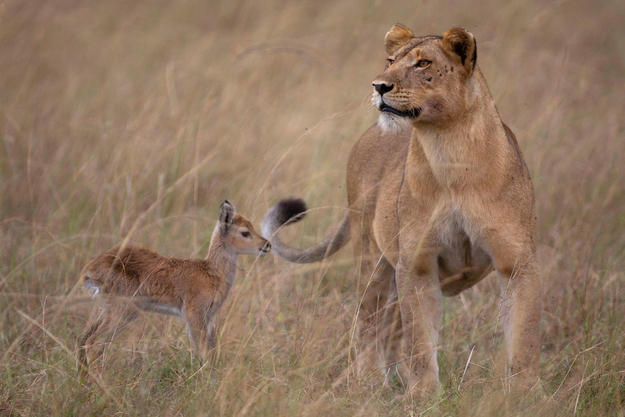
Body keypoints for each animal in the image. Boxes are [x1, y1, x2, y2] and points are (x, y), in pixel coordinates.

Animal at [77, 200, 270, 368]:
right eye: (245, 232)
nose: (266, 245)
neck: (212, 272)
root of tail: (89, 269)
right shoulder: (193, 314)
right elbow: (202, 351)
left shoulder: (209, 317)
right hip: (122, 311)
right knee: (93, 342)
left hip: (108, 310)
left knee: (84, 339)